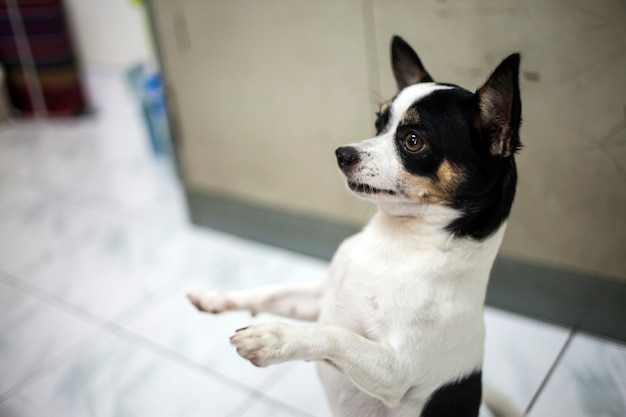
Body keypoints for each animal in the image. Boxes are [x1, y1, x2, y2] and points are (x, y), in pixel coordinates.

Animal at [188, 35, 520, 416]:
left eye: (413, 141)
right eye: (378, 125)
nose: (342, 154)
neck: (396, 242)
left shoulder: (394, 371)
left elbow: (334, 335)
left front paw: (273, 337)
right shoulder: (318, 300)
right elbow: (271, 292)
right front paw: (216, 297)